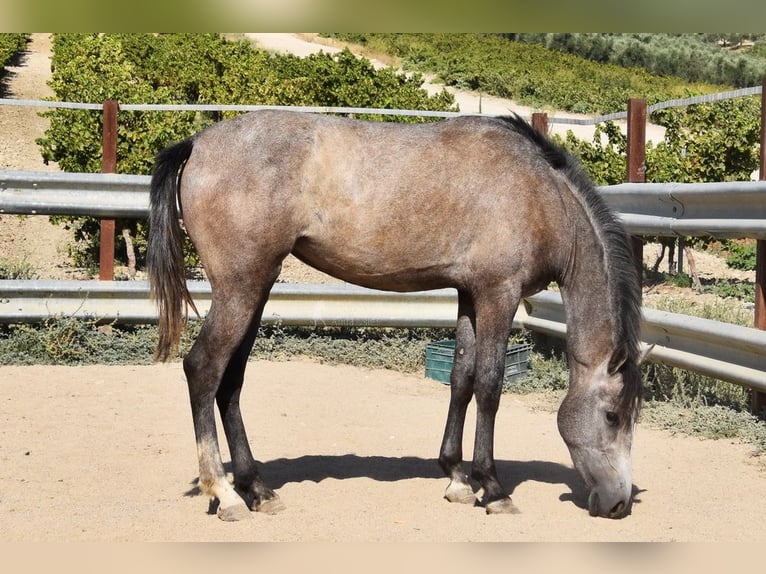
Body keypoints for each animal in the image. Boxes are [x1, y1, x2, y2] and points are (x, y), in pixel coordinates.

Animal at [146, 109, 648, 520]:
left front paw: (457, 477)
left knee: (231, 382)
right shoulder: (498, 295)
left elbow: (461, 379)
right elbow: (489, 386)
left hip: (256, 288)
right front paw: (492, 487)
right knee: (203, 370)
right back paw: (225, 492)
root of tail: (197, 143)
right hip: (241, 289)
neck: (539, 194)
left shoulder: (469, 294)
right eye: (612, 416)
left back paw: (256, 489)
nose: (618, 504)